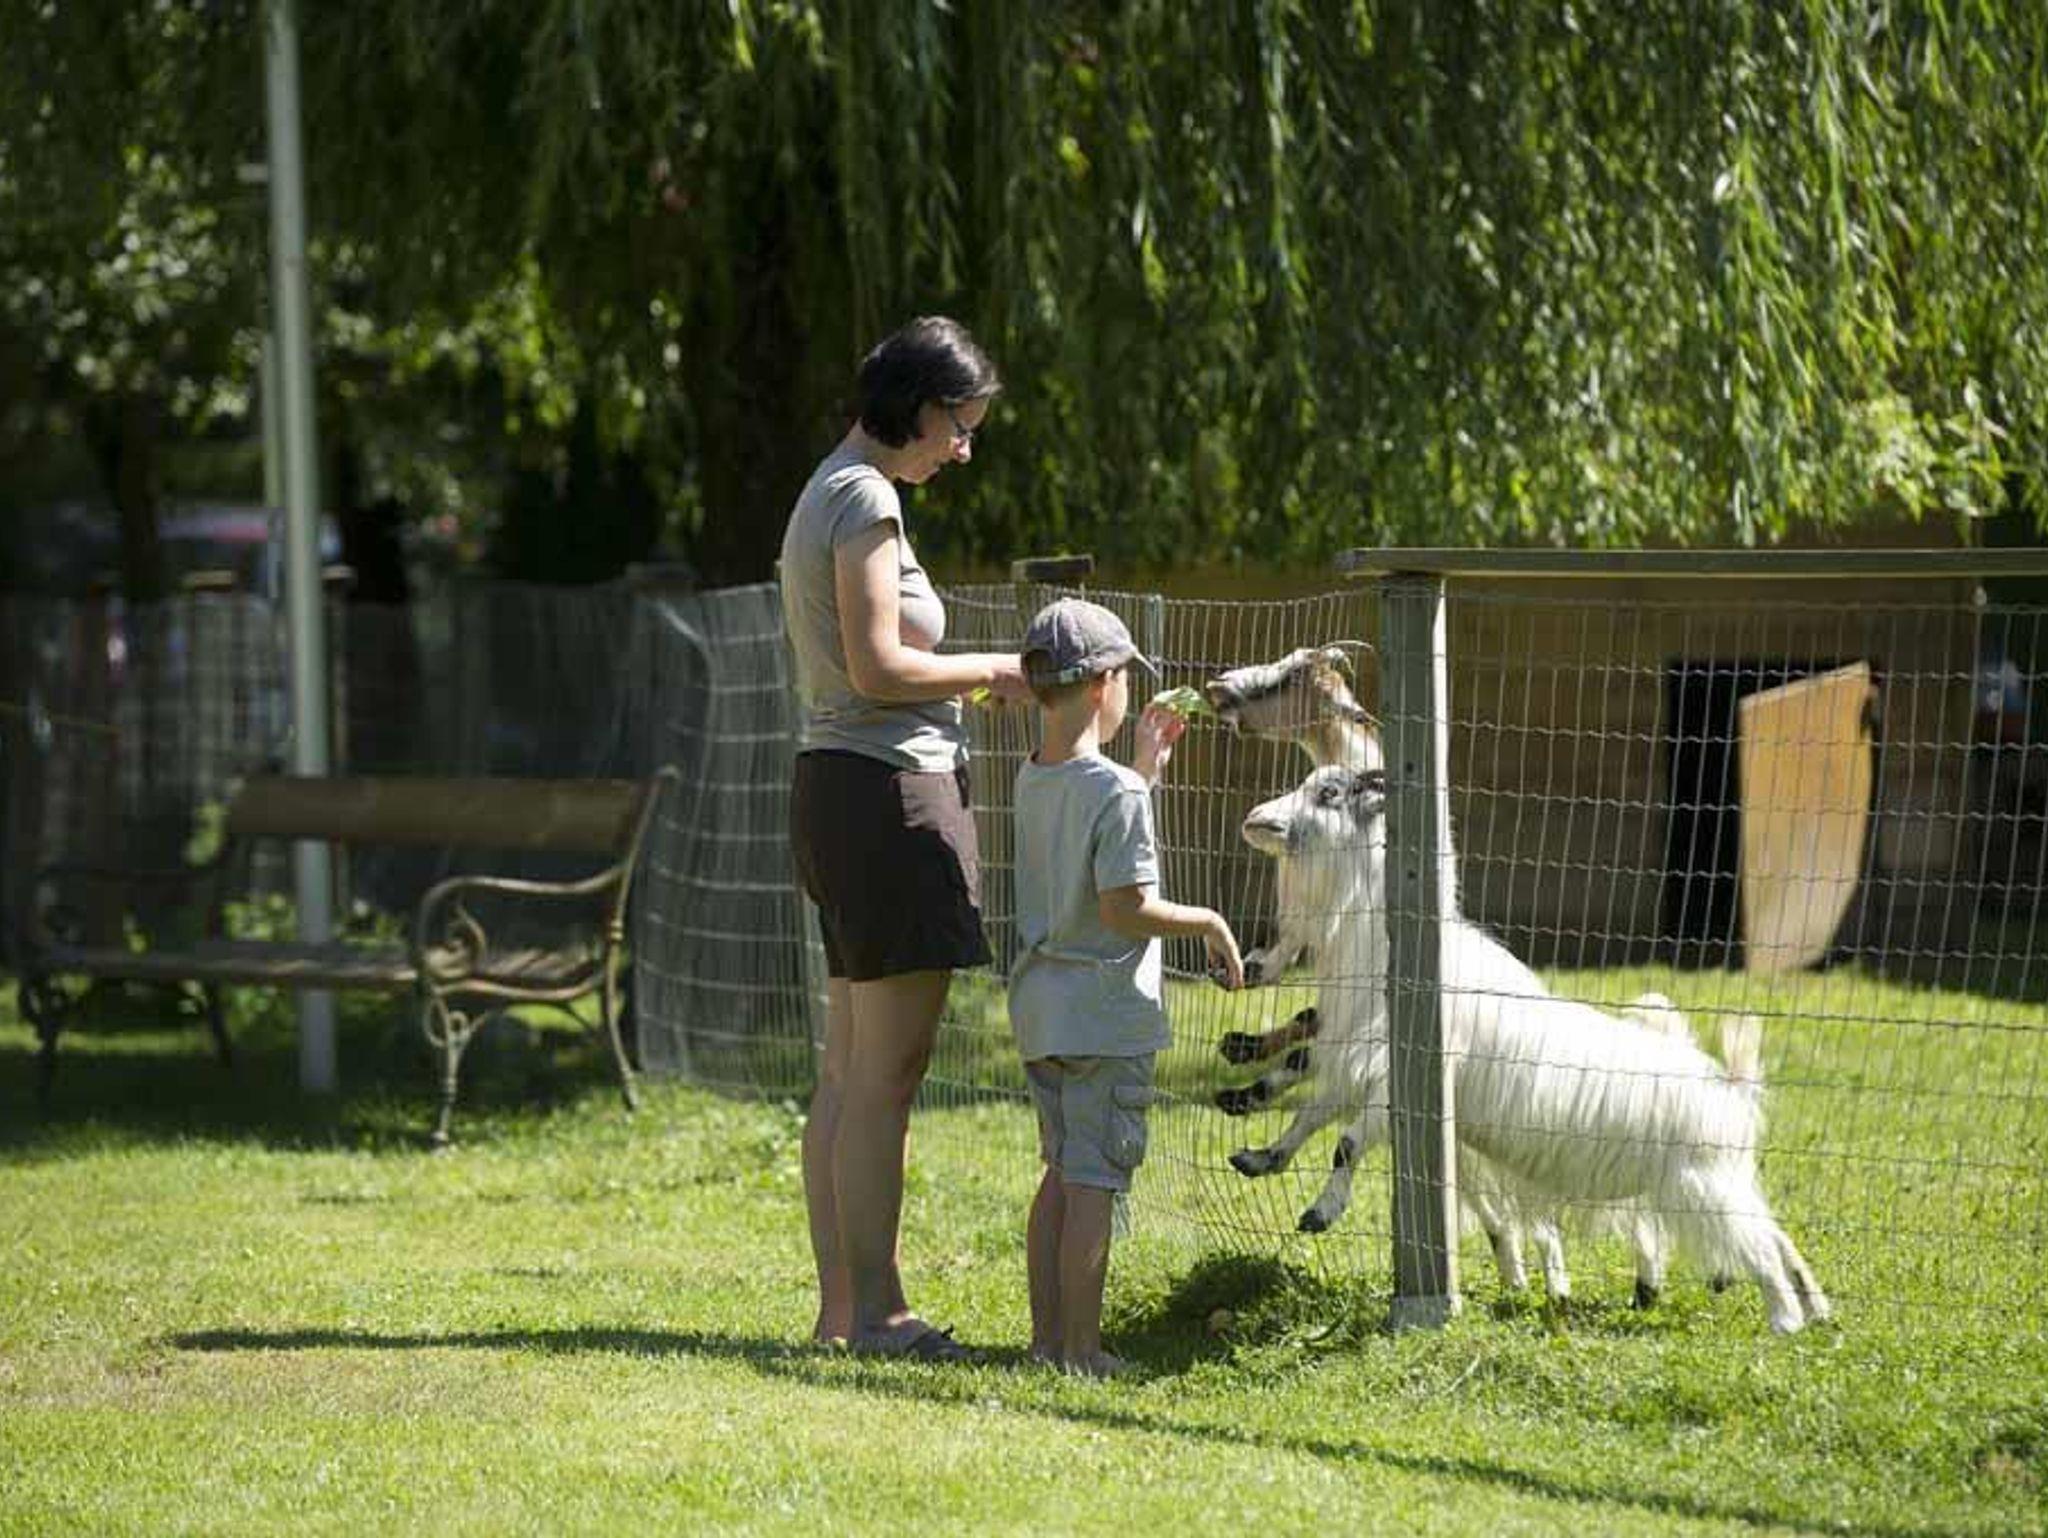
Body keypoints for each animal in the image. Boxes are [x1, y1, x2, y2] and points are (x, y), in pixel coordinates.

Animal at [1238, 765, 1831, 1333]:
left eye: (1330, 793)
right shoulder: (1354, 1063)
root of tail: (1730, 1092)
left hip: (1705, 1186)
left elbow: (1345, 1143)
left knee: (1759, 1245)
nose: (1255, 820)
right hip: (1712, 1183)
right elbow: (1308, 1120)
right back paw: (1810, 1309)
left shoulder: (1395, 1078)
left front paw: (1319, 1213)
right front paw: (1259, 1158)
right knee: (1770, 1234)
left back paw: (1785, 1319)